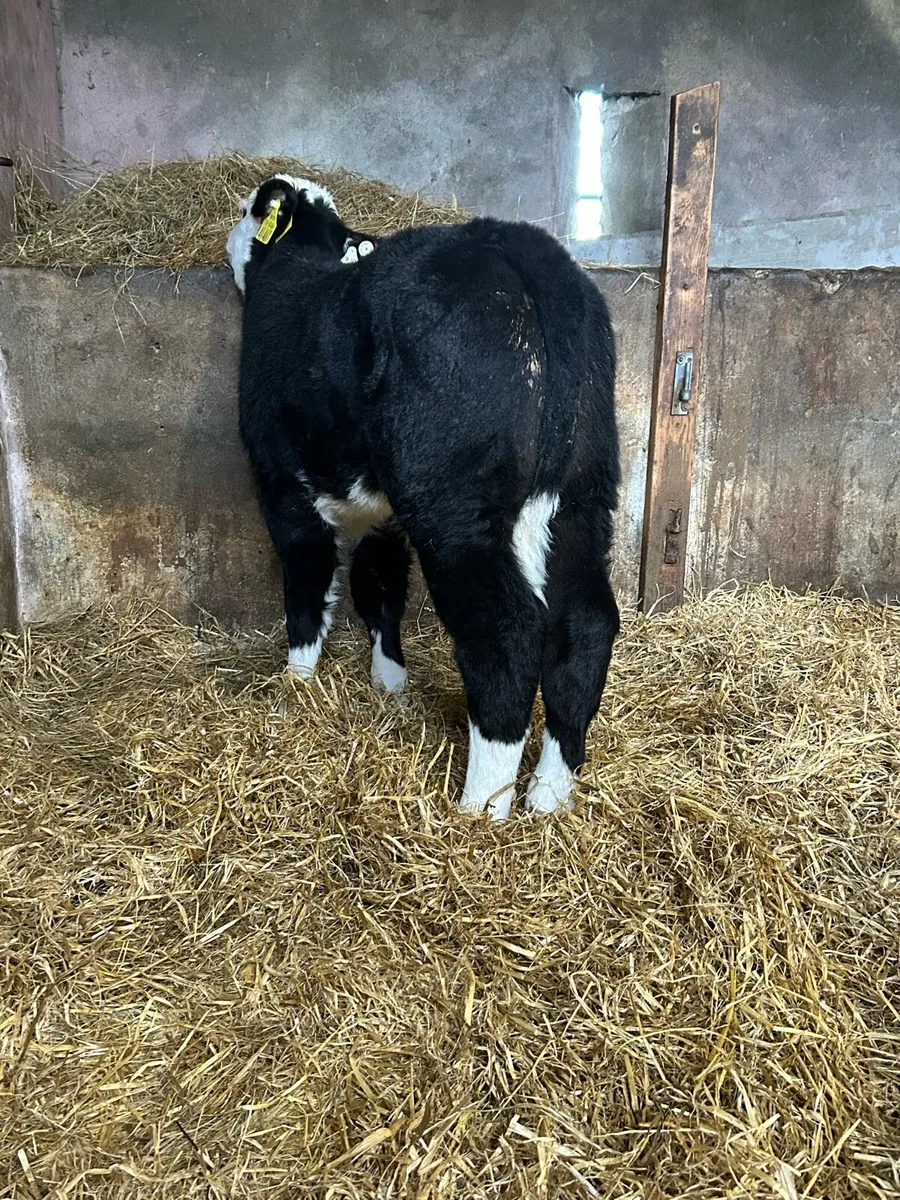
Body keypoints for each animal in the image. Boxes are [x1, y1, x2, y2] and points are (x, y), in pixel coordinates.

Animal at [226, 174, 620, 820]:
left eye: (247, 209)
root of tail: (525, 253)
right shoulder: (381, 513)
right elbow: (379, 586)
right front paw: (389, 684)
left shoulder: (283, 485)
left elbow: (308, 586)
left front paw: (296, 682)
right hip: (585, 491)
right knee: (586, 624)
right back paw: (548, 797)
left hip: (456, 506)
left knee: (505, 632)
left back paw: (480, 807)